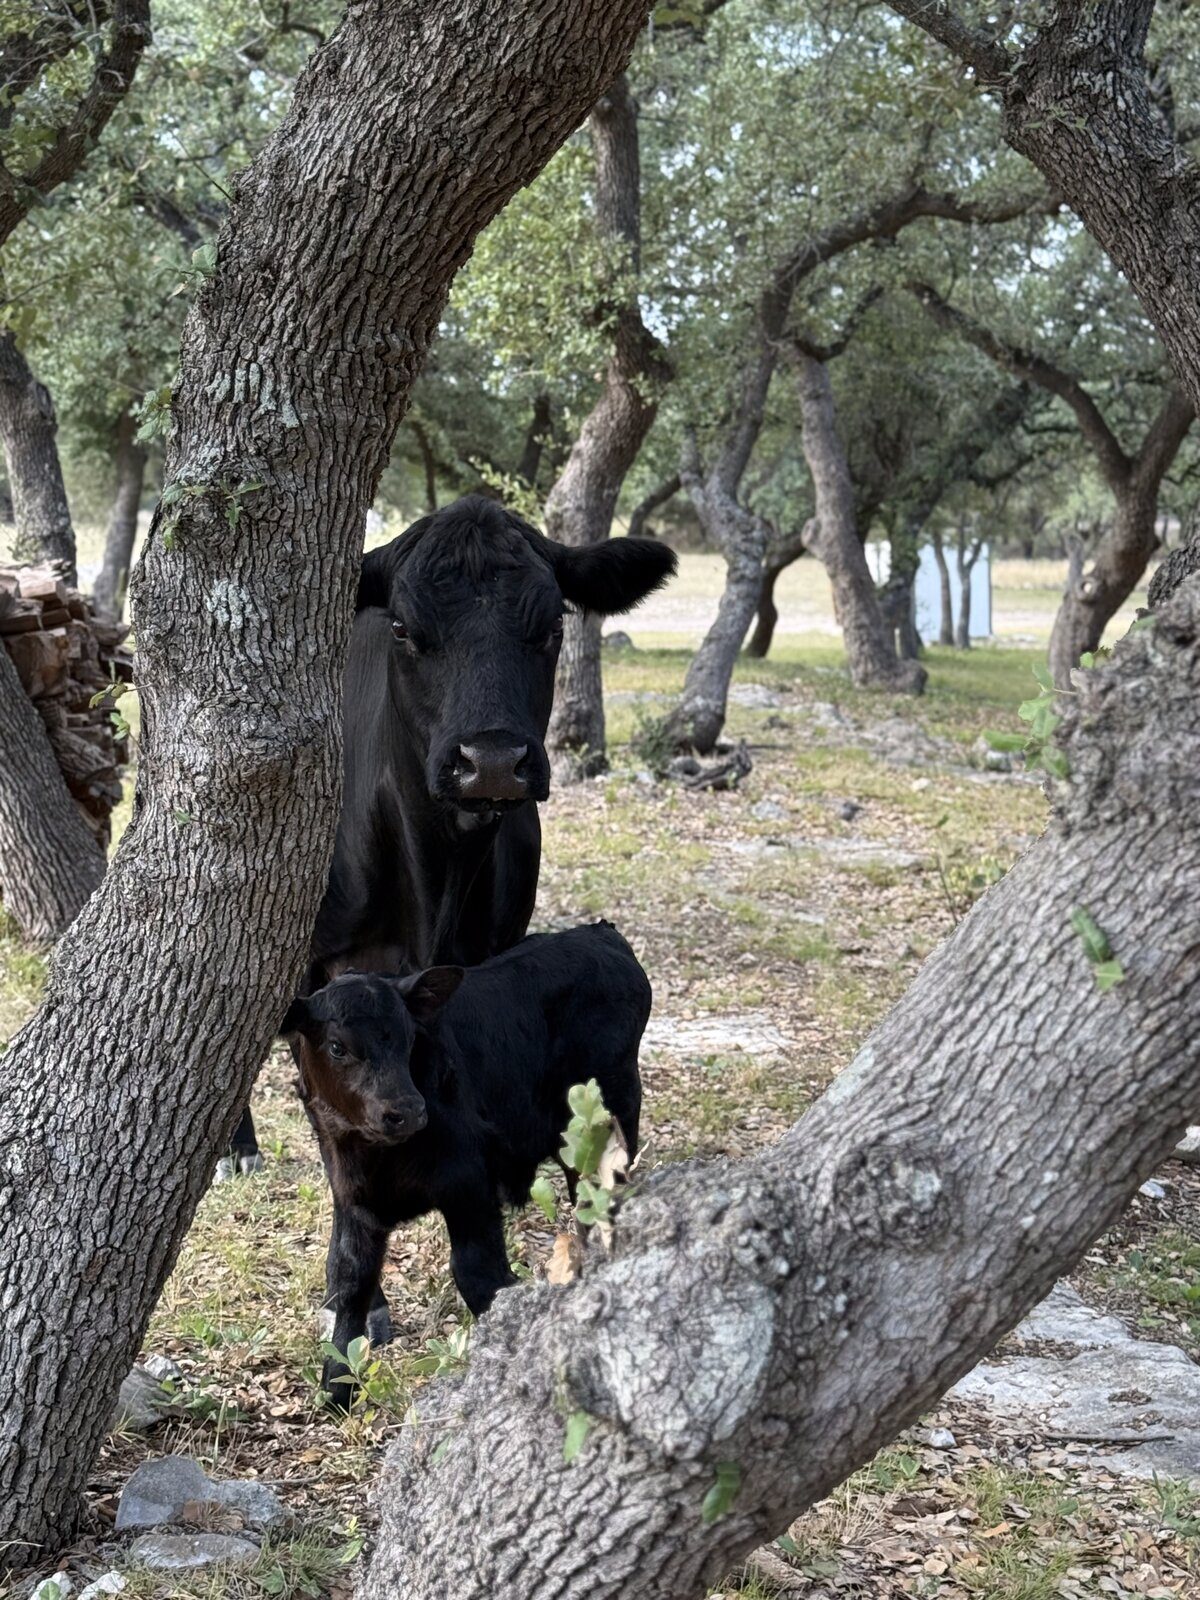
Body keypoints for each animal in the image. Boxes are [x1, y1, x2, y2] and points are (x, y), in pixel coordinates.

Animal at [281, 921, 650, 1402]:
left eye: (409, 1037)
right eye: (337, 1047)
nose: (406, 1109)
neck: (378, 1157)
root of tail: (599, 932)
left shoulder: (469, 1182)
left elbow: (479, 1275)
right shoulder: (351, 1194)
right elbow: (349, 1279)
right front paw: (336, 1388)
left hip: (612, 1114)